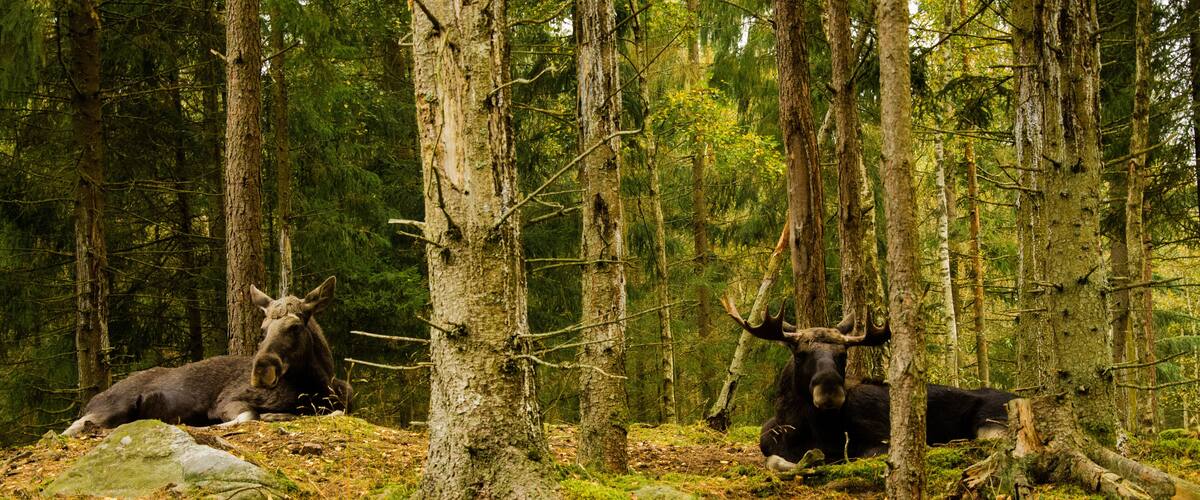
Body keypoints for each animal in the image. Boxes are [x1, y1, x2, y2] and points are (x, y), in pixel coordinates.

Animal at [62, 277, 353, 436]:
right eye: (262, 330)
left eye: (294, 327)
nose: (261, 370)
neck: (317, 385)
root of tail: (94, 399)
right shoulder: (227, 401)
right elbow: (250, 416)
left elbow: (336, 413)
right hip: (113, 407)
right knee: (73, 428)